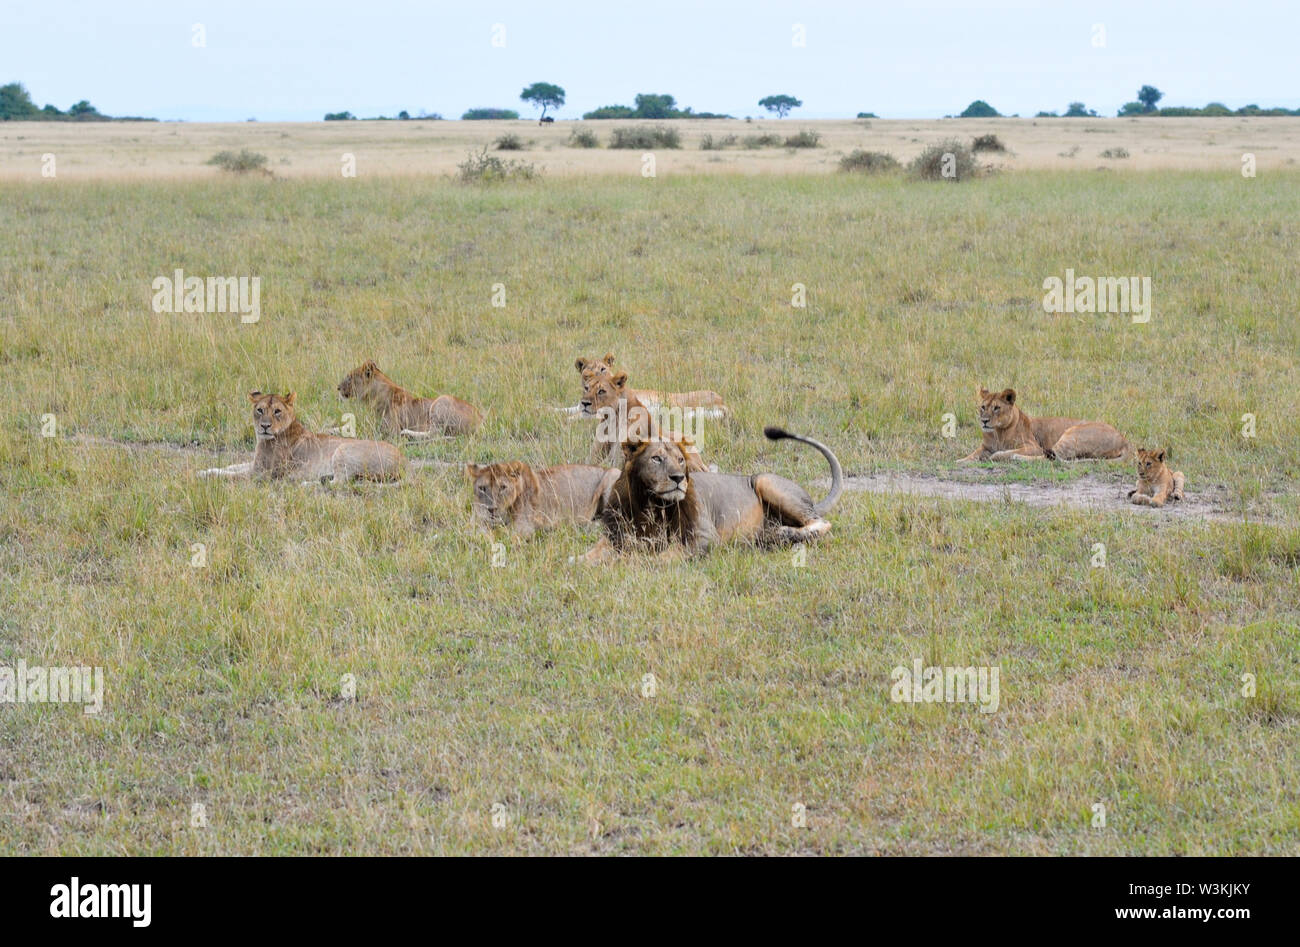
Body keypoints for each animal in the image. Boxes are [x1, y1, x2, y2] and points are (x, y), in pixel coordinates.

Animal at [198, 391, 405, 484]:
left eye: (277, 411)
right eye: (260, 410)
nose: (265, 426)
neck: (263, 441)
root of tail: (404, 461)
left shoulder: (262, 474)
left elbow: (232, 474)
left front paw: (207, 474)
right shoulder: (255, 464)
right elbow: (232, 466)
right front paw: (206, 470)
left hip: (342, 449)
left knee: (339, 483)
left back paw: (306, 482)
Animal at [338, 360, 481, 438]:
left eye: (349, 377)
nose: (338, 387)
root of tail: (481, 419)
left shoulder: (391, 429)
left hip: (441, 401)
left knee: (436, 433)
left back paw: (407, 433)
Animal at [466, 461, 619, 537]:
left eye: (503, 487)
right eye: (482, 488)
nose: (491, 509)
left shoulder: (524, 528)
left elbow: (499, 533)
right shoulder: (475, 520)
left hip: (612, 474)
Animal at [577, 426, 842, 563]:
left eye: (680, 460)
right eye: (656, 459)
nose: (678, 478)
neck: (649, 504)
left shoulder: (704, 538)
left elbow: (666, 555)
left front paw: (637, 562)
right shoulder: (616, 535)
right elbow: (593, 552)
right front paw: (577, 563)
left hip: (763, 480)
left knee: (822, 523)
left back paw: (785, 534)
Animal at [958, 387, 1131, 462]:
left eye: (996, 408)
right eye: (983, 407)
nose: (984, 421)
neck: (997, 433)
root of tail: (1124, 440)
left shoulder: (1033, 446)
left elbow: (1004, 452)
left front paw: (997, 455)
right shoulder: (985, 447)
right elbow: (972, 454)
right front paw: (960, 461)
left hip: (1072, 434)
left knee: (1053, 457)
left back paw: (1017, 457)